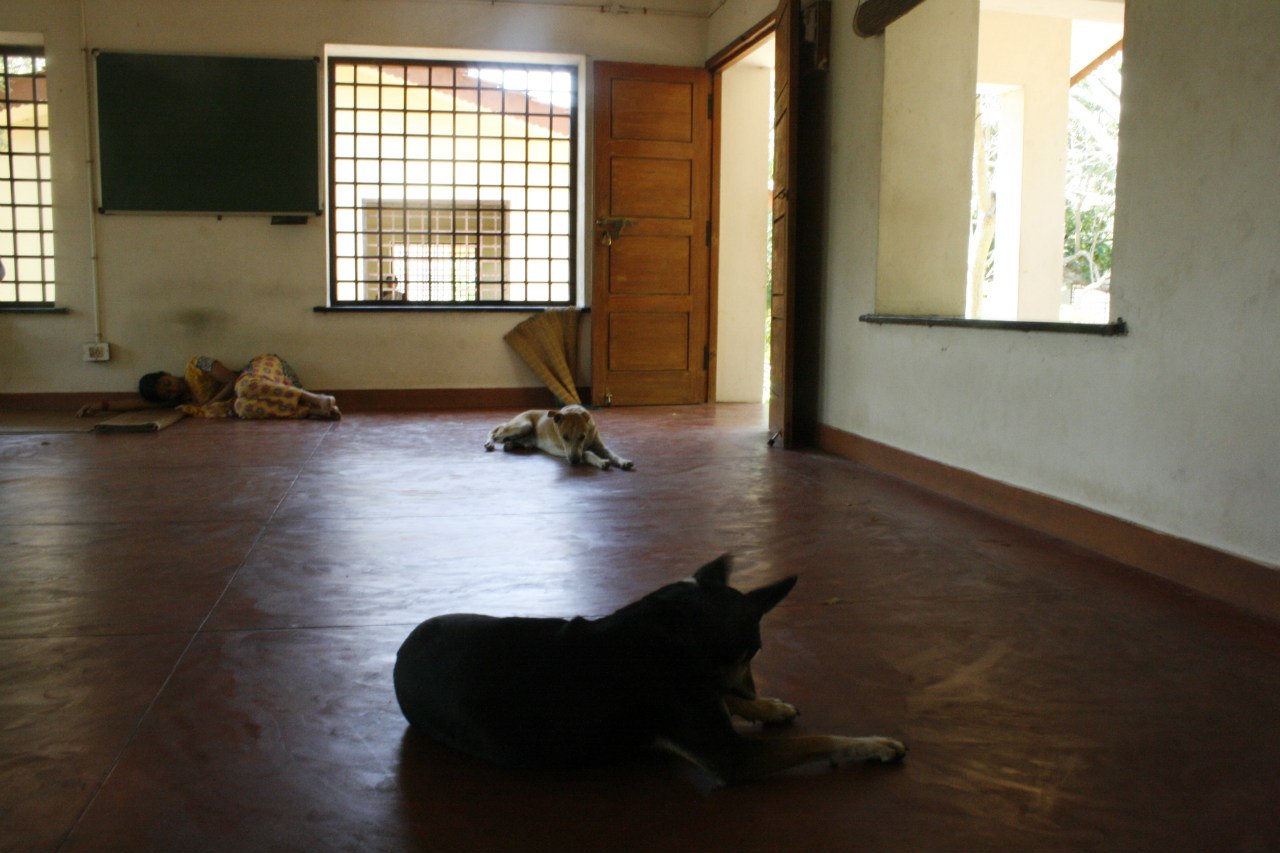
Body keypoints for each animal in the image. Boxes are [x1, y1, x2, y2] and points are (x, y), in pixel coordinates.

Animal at [393, 554, 906, 784]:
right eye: (753, 652)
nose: (753, 687)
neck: (673, 627)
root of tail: (401, 651)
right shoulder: (731, 756)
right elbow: (818, 740)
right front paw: (873, 744)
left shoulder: (703, 692)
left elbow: (725, 696)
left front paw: (768, 706)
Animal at [483, 404, 633, 471]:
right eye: (564, 437)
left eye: (582, 436)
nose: (574, 461)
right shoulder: (563, 450)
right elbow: (587, 453)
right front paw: (600, 461)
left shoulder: (599, 445)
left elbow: (612, 454)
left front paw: (623, 461)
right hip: (523, 425)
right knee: (495, 433)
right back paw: (489, 443)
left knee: (509, 439)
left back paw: (510, 445)